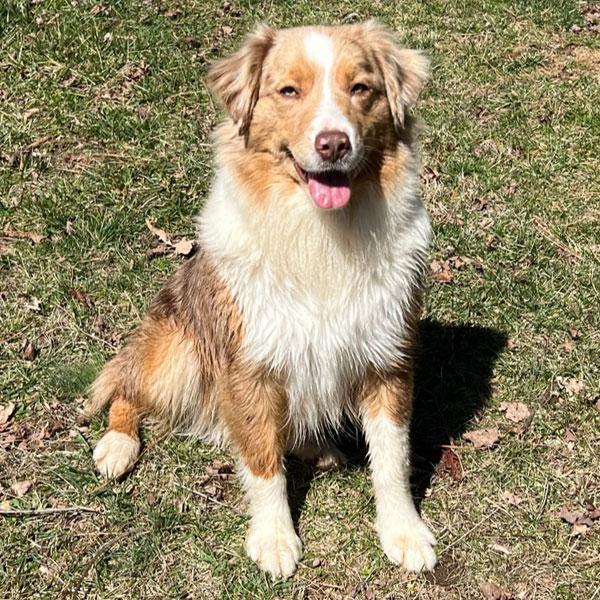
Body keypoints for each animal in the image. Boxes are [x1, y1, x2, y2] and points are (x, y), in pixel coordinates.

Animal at [86, 22, 436, 576]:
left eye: (361, 88)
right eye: (288, 91)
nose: (333, 144)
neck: (321, 233)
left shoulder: (389, 355)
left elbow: (392, 458)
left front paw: (402, 531)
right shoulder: (250, 366)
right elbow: (262, 461)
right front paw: (274, 538)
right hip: (178, 351)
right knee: (127, 384)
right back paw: (118, 444)